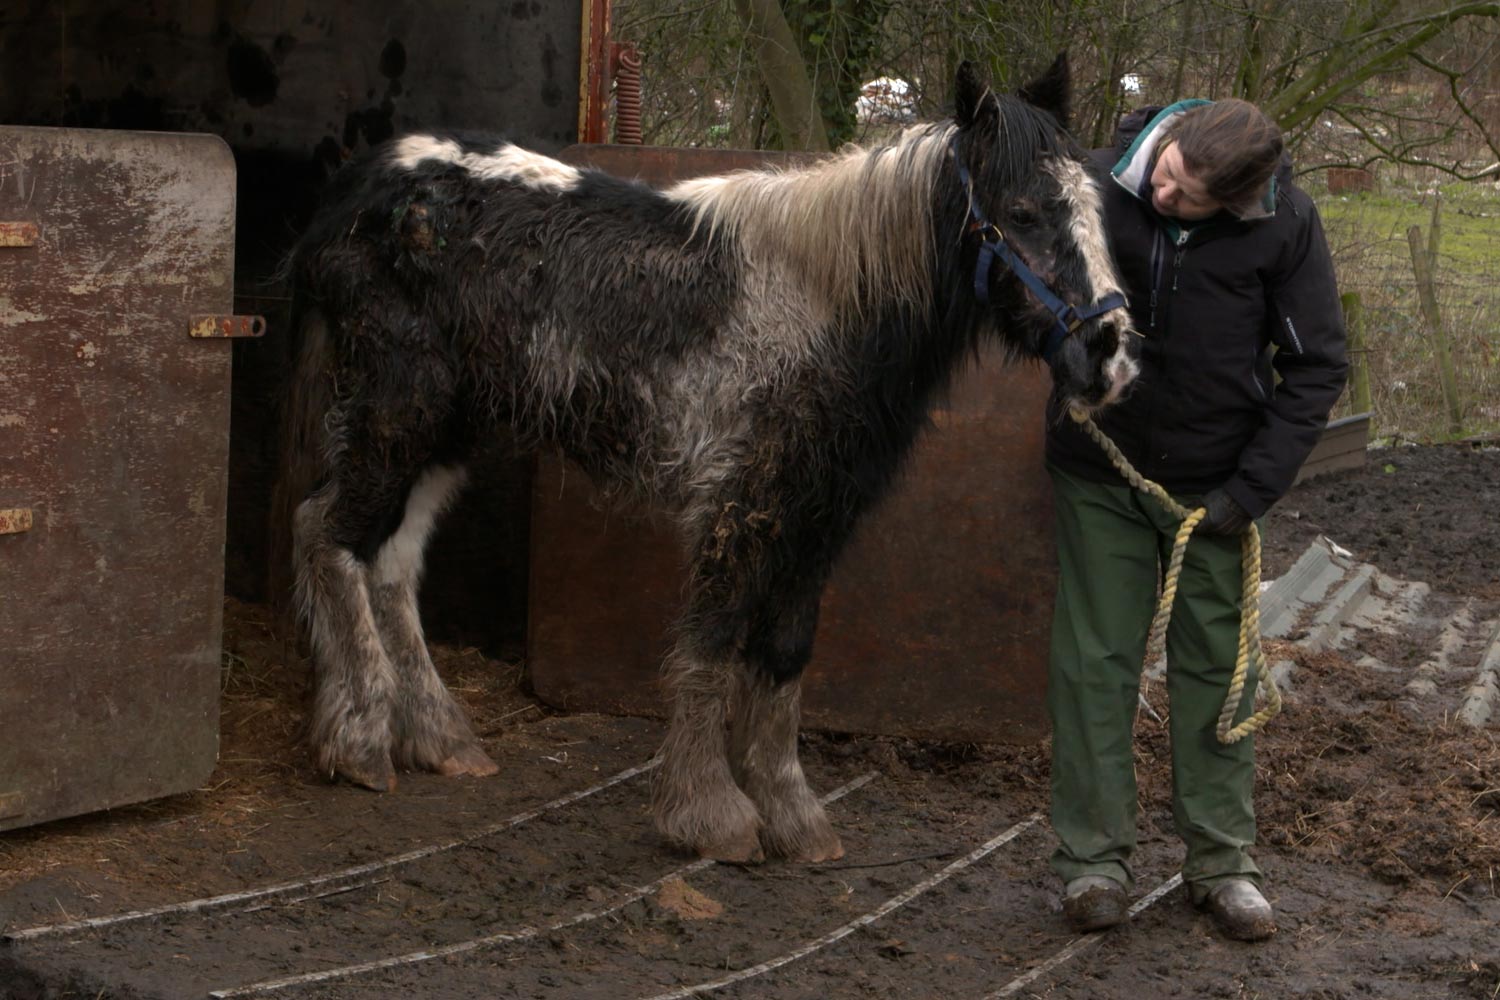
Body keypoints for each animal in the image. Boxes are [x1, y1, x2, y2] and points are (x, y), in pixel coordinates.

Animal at [276, 58, 1134, 863]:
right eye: (1022, 212)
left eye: (1094, 210)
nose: (1110, 357)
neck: (823, 304)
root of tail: (361, 186)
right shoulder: (738, 498)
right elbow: (716, 642)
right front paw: (709, 814)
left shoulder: (820, 514)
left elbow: (785, 652)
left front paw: (792, 813)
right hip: (398, 410)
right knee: (327, 534)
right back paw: (358, 739)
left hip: (450, 431)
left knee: (388, 561)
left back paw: (438, 737)